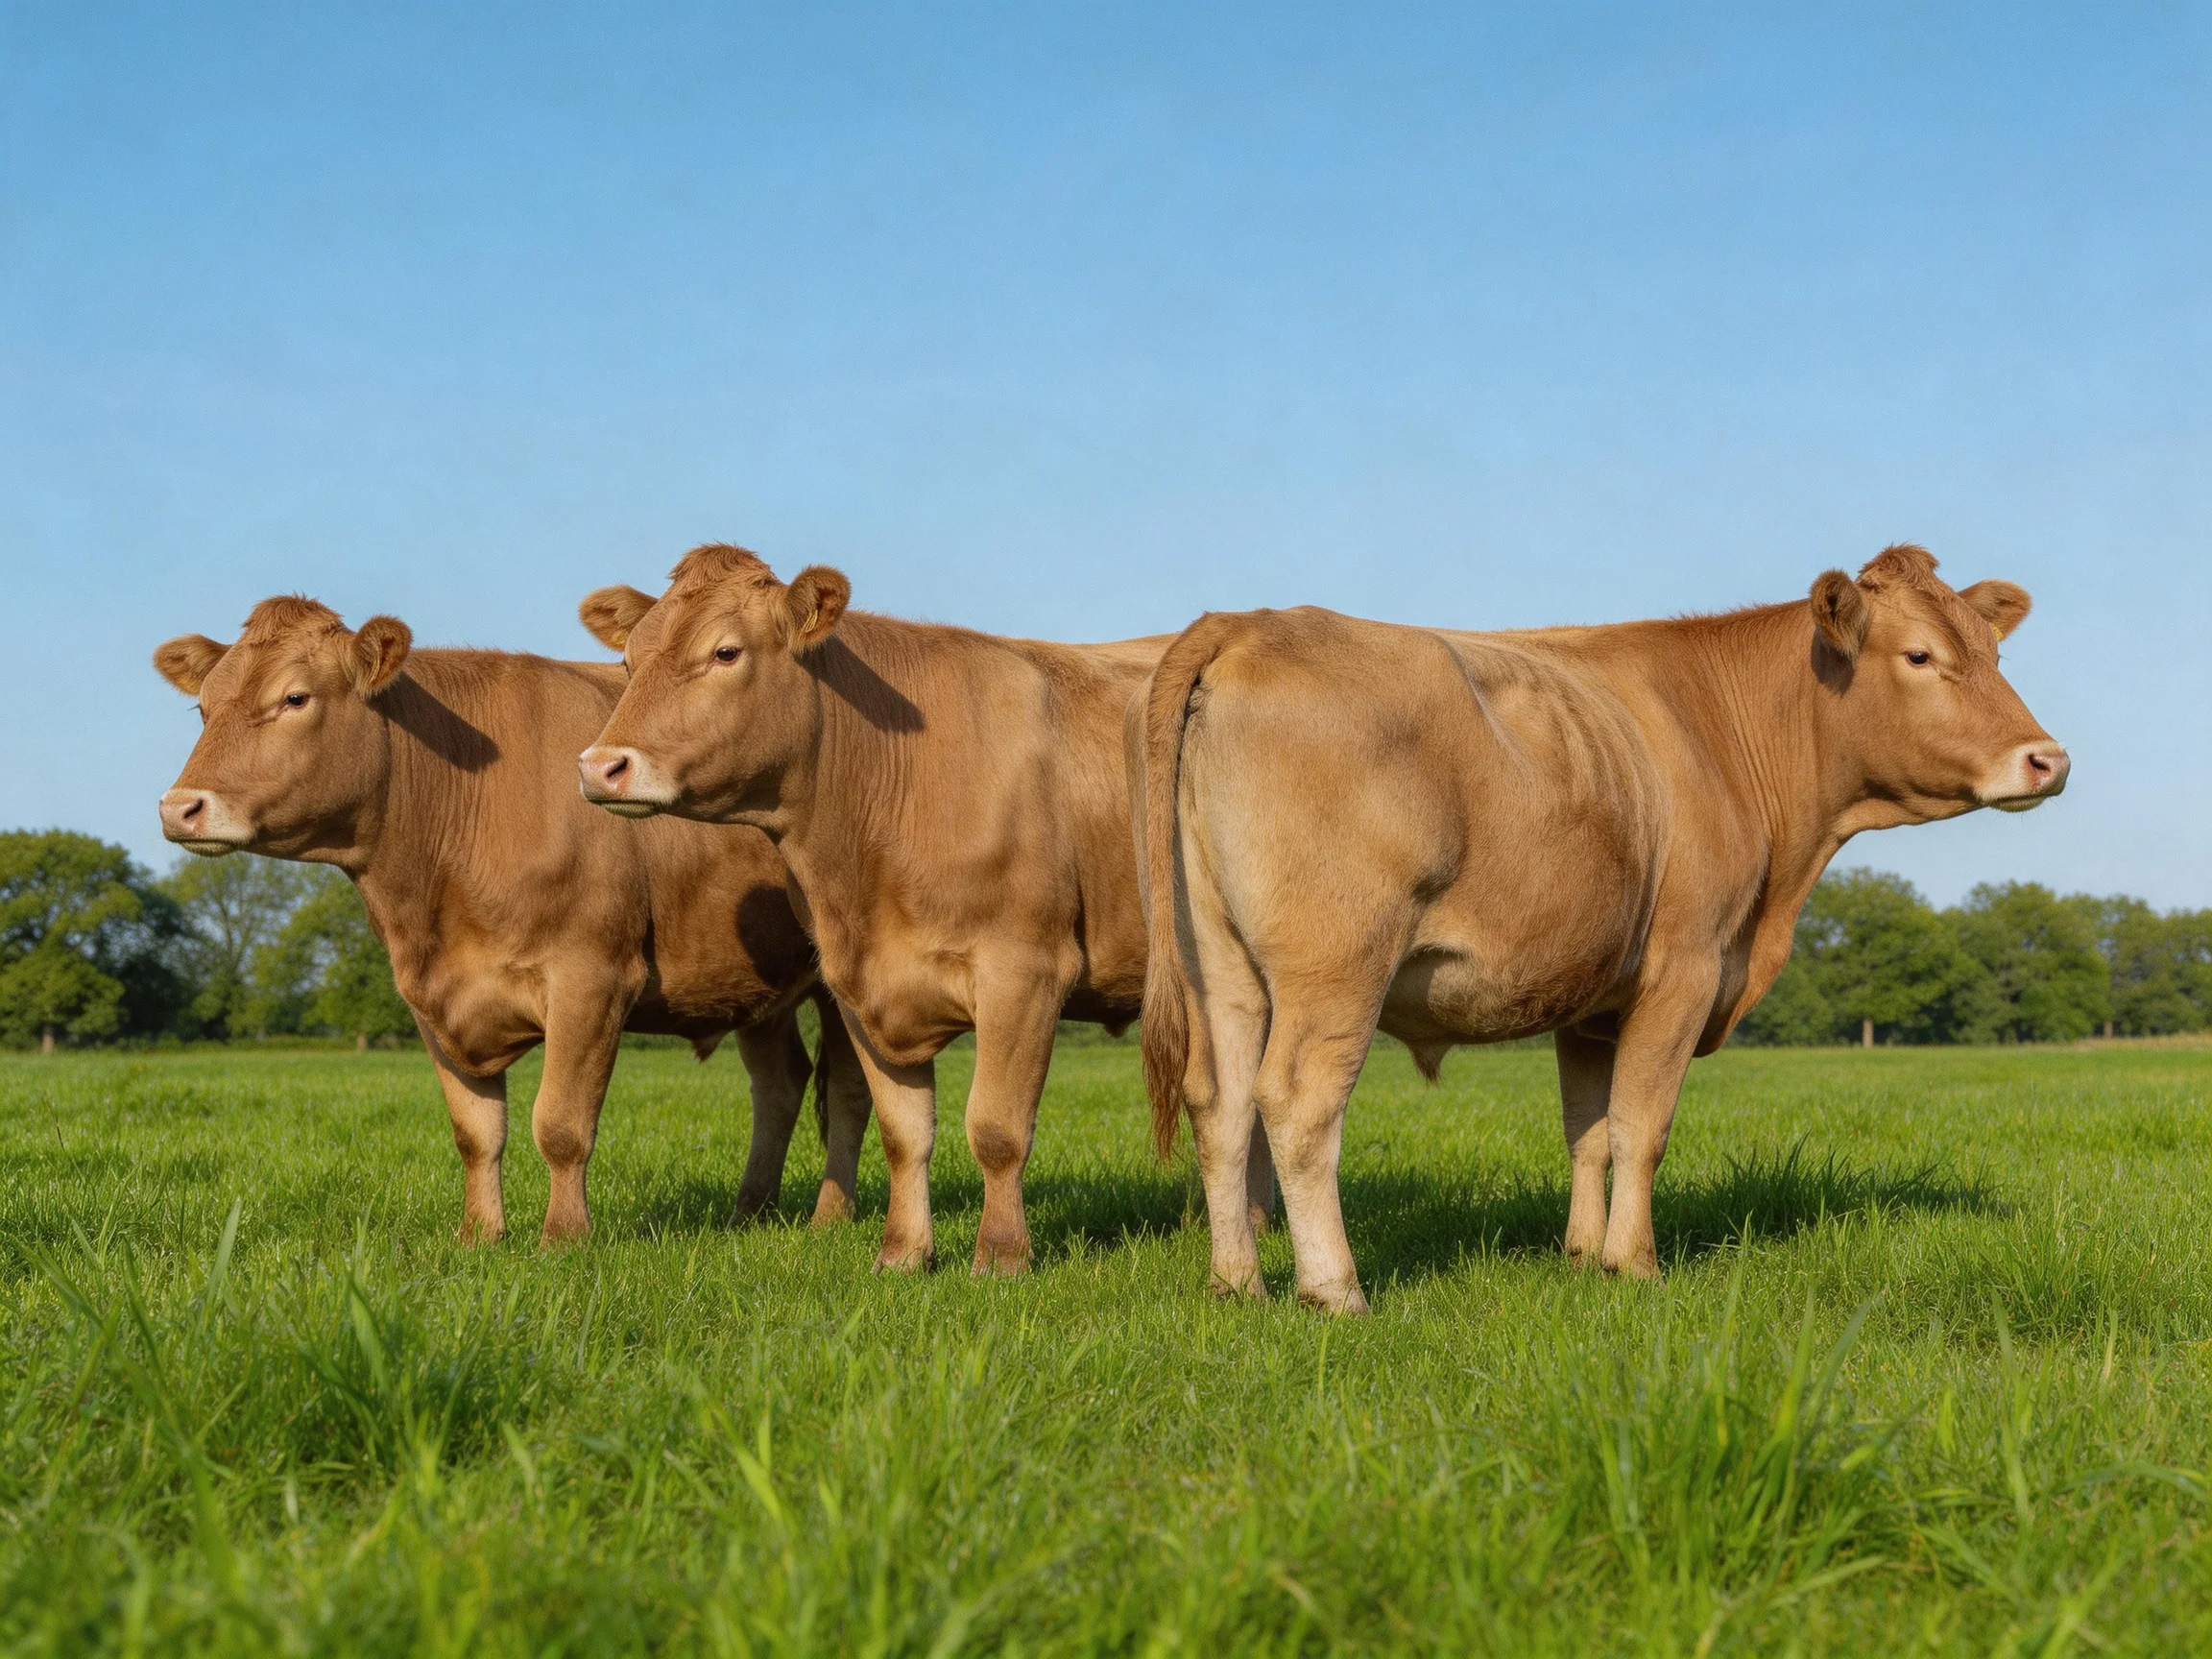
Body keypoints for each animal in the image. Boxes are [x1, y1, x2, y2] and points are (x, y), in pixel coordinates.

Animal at [153, 595, 872, 1246]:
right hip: (754, 981)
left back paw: (828, 1219)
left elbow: (560, 1124)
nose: (180, 807)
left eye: (296, 697)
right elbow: (476, 1132)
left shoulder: (592, 977)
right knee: (779, 1085)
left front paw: (563, 1239)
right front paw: (481, 1236)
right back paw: (748, 1213)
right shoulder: (430, 999)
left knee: (848, 1092)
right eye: (203, 708)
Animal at [569, 543, 1231, 1276]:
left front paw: (1000, 1258)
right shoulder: (857, 985)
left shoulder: (1024, 971)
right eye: (629, 663)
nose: (601, 766)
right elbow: (904, 1132)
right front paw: (903, 1253)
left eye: (725, 652)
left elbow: (997, 1128)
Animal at [1134, 545, 2069, 1312]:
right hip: (1337, 964)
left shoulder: (1588, 998)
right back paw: (1335, 1290)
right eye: (1920, 655)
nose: (2048, 760)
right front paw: (1636, 1264)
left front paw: (1582, 1256)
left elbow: (1586, 1131)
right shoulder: (1686, 966)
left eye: (1994, 655)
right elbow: (1640, 1127)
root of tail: (1249, 623)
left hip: (1222, 968)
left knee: (1220, 1105)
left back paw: (1238, 1282)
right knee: (1297, 1105)